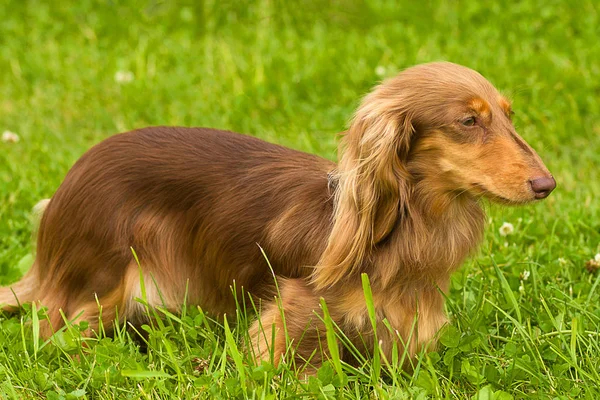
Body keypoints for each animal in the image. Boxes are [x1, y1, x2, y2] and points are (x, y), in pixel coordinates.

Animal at [0, 61, 552, 370]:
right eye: (468, 121)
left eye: (510, 116)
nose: (546, 185)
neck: (408, 229)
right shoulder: (294, 308)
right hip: (102, 284)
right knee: (55, 332)